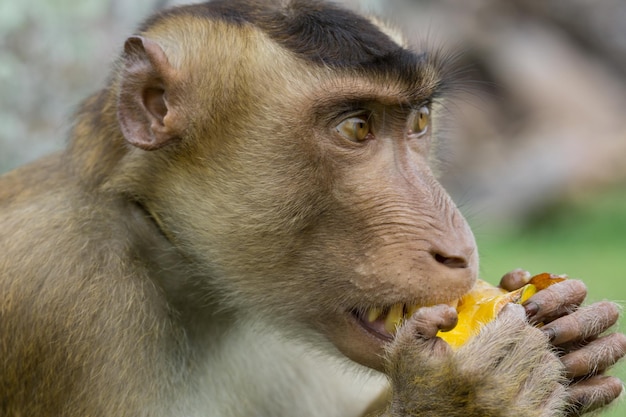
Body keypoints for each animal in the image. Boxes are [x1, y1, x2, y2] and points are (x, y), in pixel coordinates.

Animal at [1, 0, 624, 416]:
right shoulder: (63, 294)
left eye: (420, 120)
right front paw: (464, 395)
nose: (458, 251)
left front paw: (569, 328)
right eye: (356, 128)